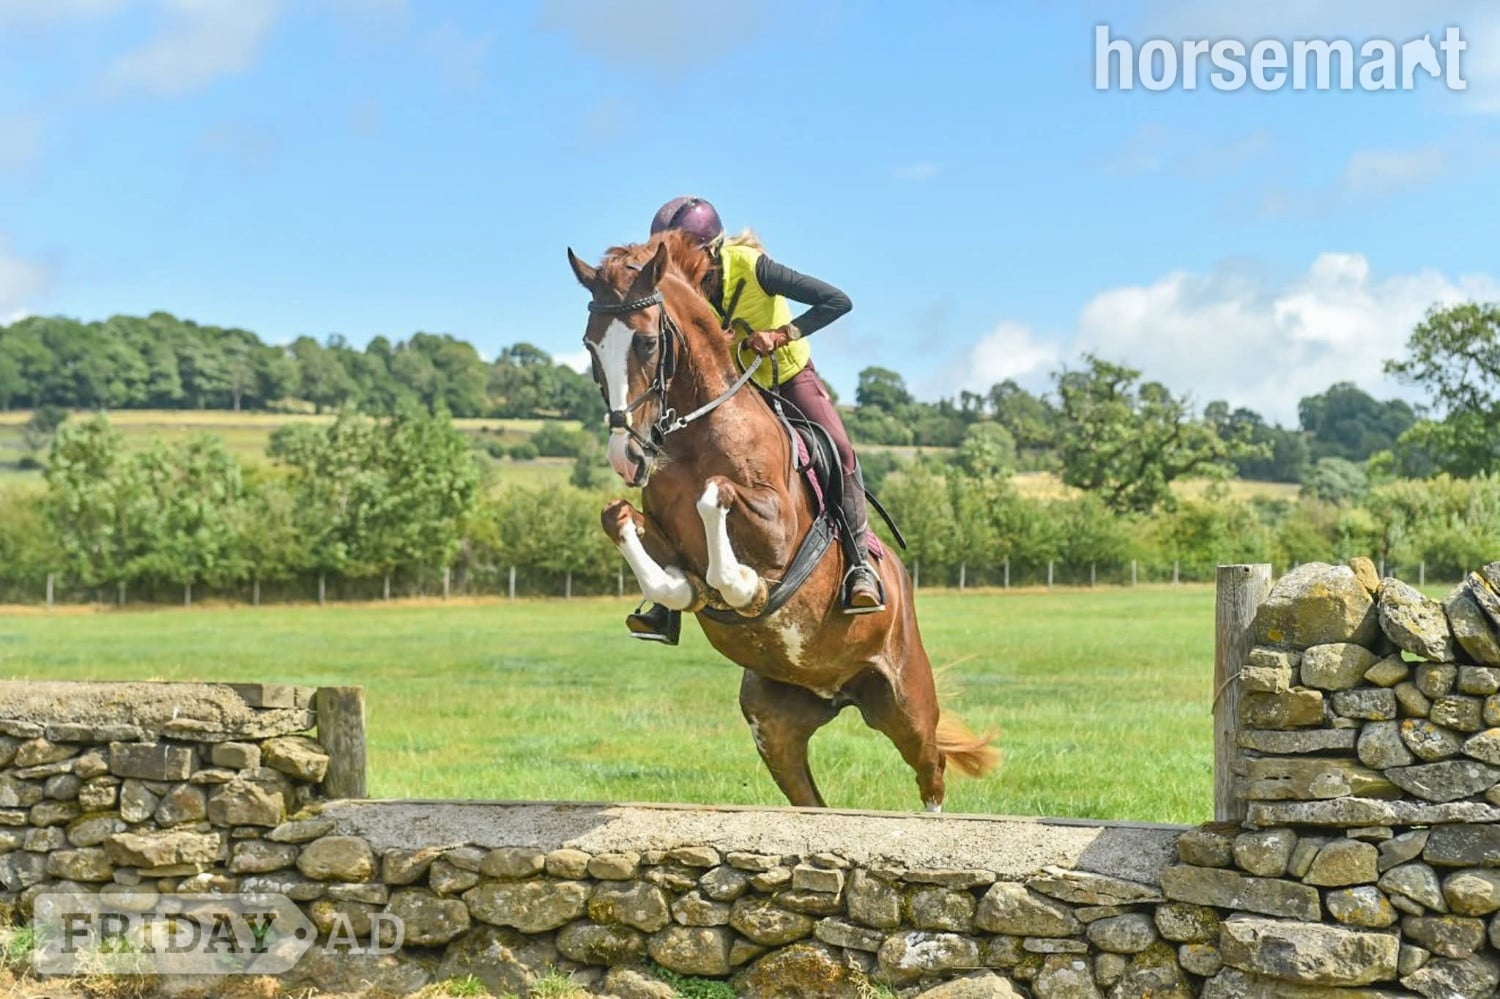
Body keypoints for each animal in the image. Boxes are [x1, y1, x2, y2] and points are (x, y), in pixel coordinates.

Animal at [566, 230, 996, 811]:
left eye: (648, 343)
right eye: (591, 347)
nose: (626, 457)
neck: (694, 433)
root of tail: (840, 694)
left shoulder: (776, 526)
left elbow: (717, 501)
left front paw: (741, 586)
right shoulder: (660, 525)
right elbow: (623, 523)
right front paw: (678, 592)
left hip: (906, 700)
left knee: (932, 769)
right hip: (773, 726)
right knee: (810, 798)